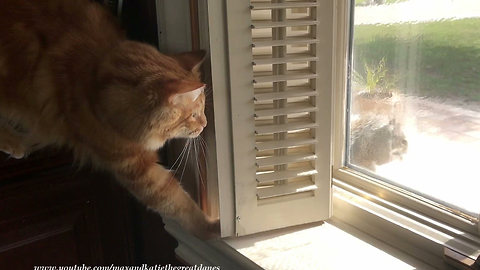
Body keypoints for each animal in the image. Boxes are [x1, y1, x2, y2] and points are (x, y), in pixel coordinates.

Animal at [0, 0, 219, 240]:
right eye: (194, 115)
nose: (205, 124)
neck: (96, 81)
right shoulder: (137, 169)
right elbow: (177, 202)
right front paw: (210, 228)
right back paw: (14, 142)